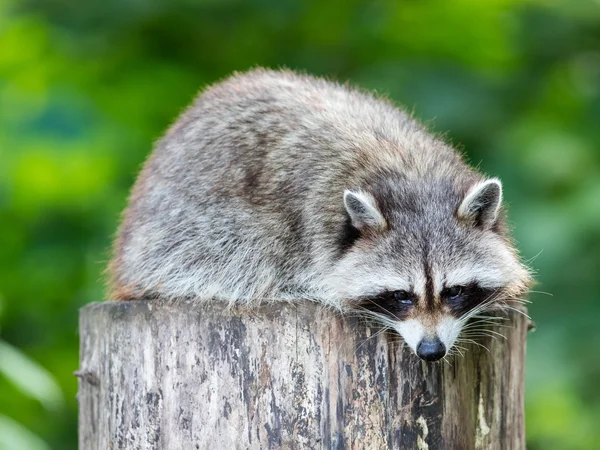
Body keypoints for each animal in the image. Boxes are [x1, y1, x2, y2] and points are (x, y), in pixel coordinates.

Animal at [108, 67, 528, 362]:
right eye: (400, 296)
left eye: (453, 291)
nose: (431, 351)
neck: (413, 178)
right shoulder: (305, 229)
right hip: (187, 228)